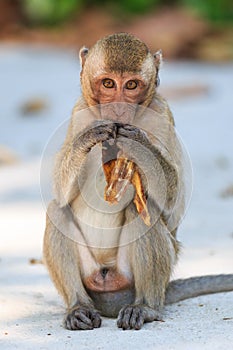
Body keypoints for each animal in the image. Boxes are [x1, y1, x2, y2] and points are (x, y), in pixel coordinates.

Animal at [43, 32, 233, 330]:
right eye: (108, 83)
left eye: (131, 85)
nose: (119, 110)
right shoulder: (79, 112)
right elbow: (61, 193)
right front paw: (89, 138)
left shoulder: (162, 114)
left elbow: (172, 205)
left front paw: (136, 141)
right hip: (91, 277)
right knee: (56, 210)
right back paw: (77, 308)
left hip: (131, 277)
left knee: (144, 210)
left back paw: (145, 307)